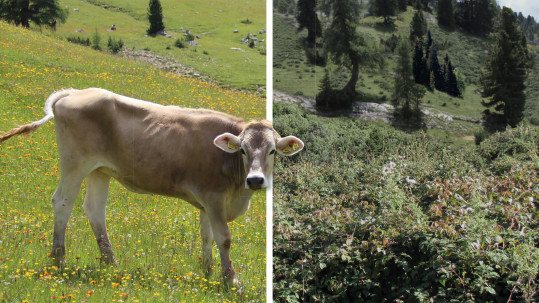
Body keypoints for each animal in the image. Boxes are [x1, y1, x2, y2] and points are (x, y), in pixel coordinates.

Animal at [0, 88, 304, 288]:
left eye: (273, 151)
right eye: (242, 150)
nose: (255, 180)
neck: (238, 190)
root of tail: (75, 92)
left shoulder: (207, 201)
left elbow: (206, 237)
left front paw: (207, 273)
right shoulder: (214, 198)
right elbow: (224, 238)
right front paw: (231, 280)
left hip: (99, 170)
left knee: (95, 210)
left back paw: (110, 262)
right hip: (75, 162)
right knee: (62, 201)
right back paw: (59, 258)